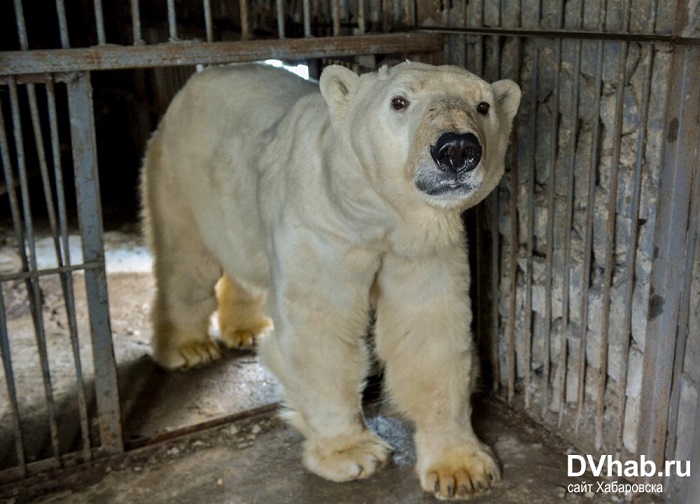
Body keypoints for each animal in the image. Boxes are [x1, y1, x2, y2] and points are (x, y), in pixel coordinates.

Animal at [141, 62, 520, 500]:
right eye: (399, 101)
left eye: (483, 105)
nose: (456, 148)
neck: (377, 215)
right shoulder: (323, 226)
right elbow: (321, 329)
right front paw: (351, 454)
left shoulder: (421, 250)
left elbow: (427, 331)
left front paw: (461, 468)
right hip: (181, 172)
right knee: (185, 260)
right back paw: (189, 348)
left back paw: (245, 329)